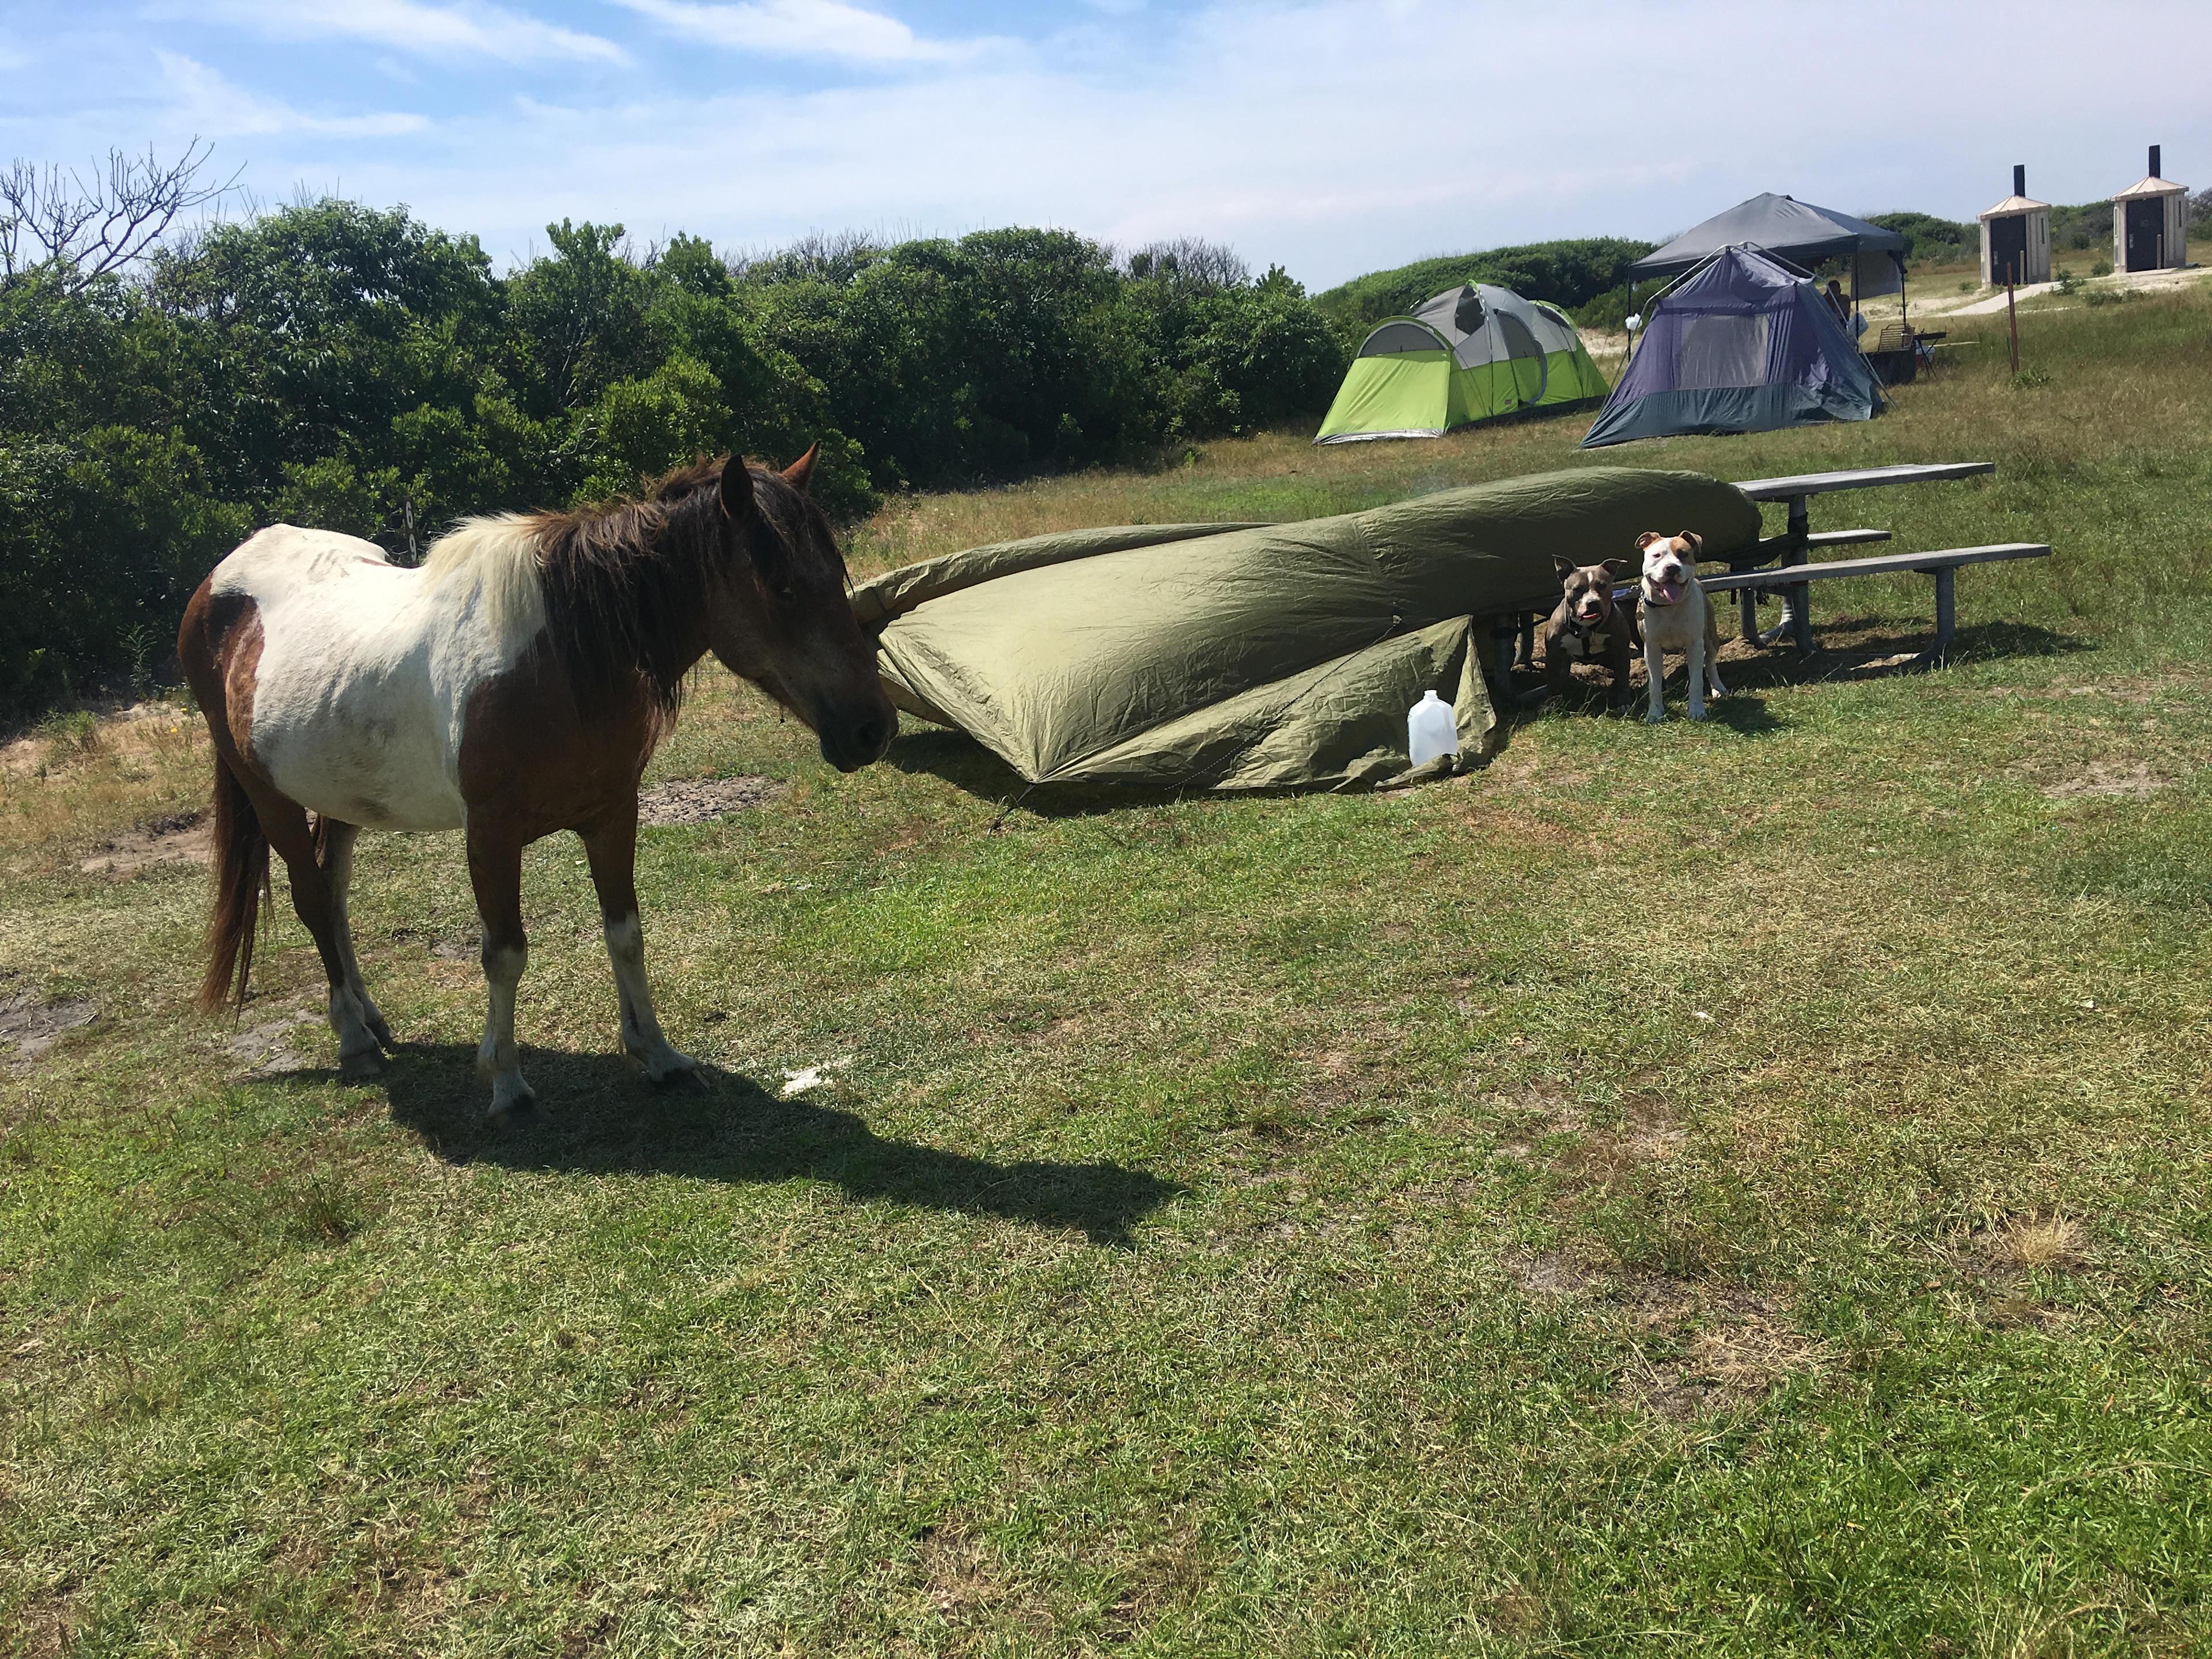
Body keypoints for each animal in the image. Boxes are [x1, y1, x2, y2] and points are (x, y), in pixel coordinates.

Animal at [177, 447, 895, 1123]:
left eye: (835, 573)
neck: (563, 660)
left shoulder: (612, 812)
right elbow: (505, 953)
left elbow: (626, 933)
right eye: (780, 587)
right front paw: (506, 1083)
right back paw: (354, 1041)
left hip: (342, 796)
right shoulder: (491, 836)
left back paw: (371, 1018)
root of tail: (214, 584)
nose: (874, 729)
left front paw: (658, 1056)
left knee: (333, 893)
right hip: (269, 797)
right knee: (309, 898)